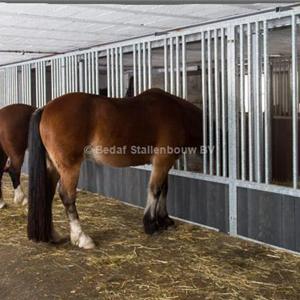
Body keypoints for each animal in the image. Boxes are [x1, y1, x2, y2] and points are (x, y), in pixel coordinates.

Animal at [27, 88, 202, 248]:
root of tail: (45, 108)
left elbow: (164, 189)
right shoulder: (162, 160)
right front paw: (151, 225)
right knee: (67, 196)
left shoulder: (165, 163)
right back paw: (82, 238)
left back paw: (52, 235)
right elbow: (155, 190)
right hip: (70, 168)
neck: (179, 114)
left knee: (48, 193)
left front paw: (165, 220)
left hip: (53, 167)